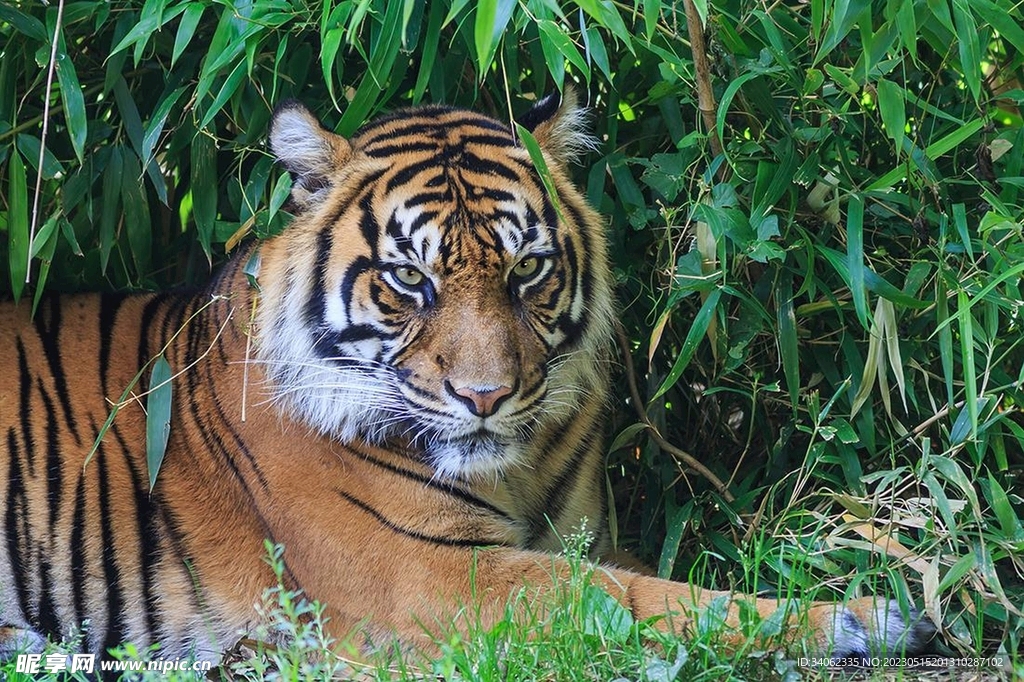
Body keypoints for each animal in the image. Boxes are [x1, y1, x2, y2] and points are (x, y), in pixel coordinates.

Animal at [0, 91, 934, 666]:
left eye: (527, 270)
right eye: (410, 280)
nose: (485, 398)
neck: (515, 470)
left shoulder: (583, 535)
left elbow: (648, 581)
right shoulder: (432, 577)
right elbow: (639, 602)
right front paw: (865, 618)